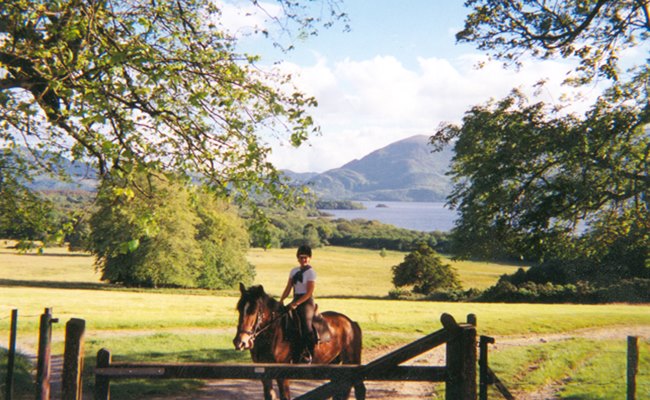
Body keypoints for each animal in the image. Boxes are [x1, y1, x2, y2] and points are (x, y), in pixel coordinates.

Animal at [233, 282, 364, 400]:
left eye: (253, 310)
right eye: (239, 308)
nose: (240, 342)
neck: (273, 332)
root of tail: (351, 322)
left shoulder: (282, 375)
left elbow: (285, 396)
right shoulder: (264, 374)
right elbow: (269, 395)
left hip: (351, 360)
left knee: (359, 388)